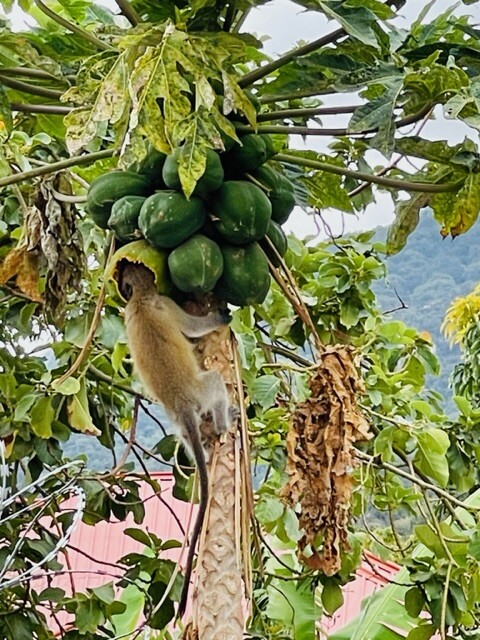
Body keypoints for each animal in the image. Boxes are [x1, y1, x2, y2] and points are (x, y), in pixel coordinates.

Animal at [118, 261, 234, 618]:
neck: (141, 299)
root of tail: (182, 404)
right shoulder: (166, 304)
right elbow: (194, 330)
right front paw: (219, 317)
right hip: (202, 389)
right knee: (215, 381)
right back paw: (224, 423)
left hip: (178, 421)